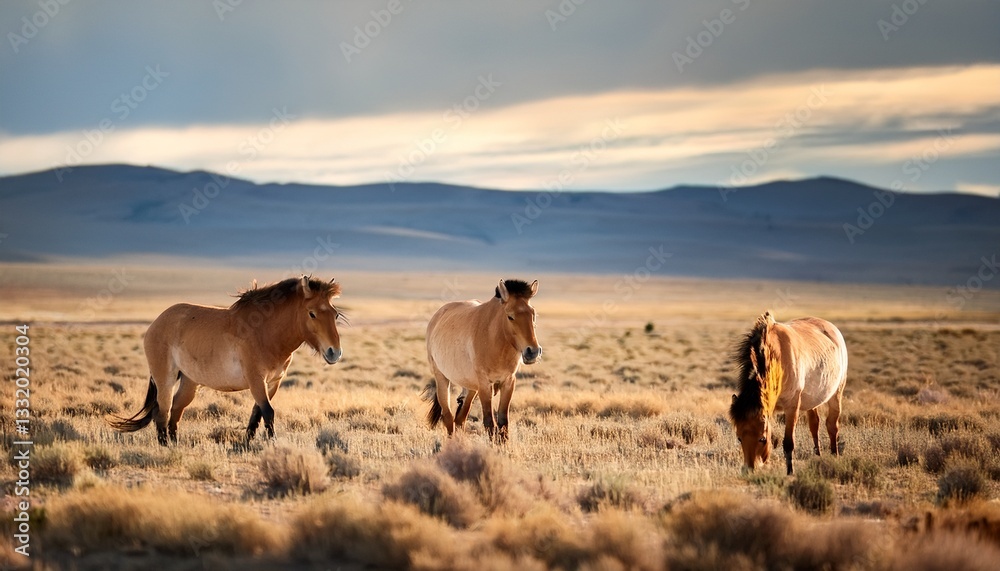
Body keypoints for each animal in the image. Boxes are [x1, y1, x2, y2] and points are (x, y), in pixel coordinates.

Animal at [107, 276, 344, 446]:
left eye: (335, 314)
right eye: (312, 313)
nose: (334, 352)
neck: (264, 332)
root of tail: (156, 323)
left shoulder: (272, 382)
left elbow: (257, 413)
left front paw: (246, 443)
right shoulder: (256, 380)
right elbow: (268, 412)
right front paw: (273, 444)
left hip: (190, 382)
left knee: (175, 410)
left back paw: (175, 444)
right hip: (165, 378)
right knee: (162, 412)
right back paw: (165, 446)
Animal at [423, 278, 541, 443]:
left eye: (533, 314)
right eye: (510, 316)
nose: (533, 352)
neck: (495, 339)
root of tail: (437, 316)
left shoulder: (508, 382)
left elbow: (503, 422)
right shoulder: (485, 385)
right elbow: (489, 422)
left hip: (471, 388)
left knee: (460, 419)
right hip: (442, 379)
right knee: (448, 417)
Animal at [728, 311, 848, 475]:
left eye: (762, 439)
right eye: (739, 438)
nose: (750, 470)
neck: (777, 359)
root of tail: (832, 328)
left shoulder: (792, 407)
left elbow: (788, 443)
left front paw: (790, 472)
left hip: (836, 394)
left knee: (832, 426)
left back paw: (834, 455)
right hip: (812, 401)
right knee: (814, 425)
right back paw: (818, 456)